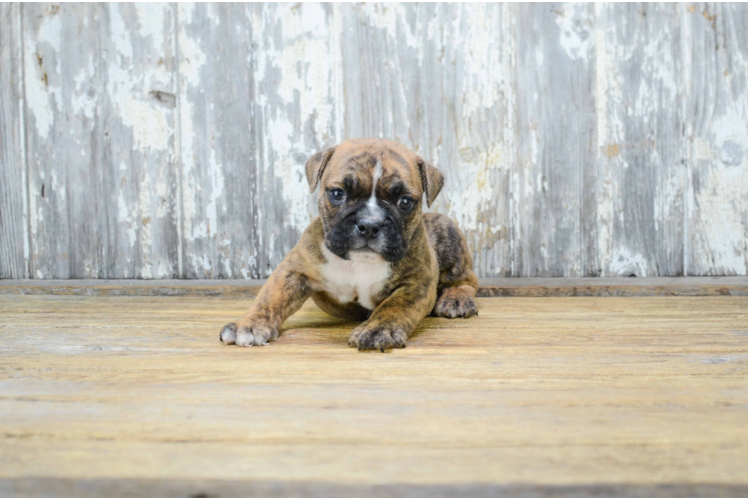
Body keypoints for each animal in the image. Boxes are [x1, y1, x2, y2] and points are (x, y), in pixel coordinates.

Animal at [221, 137, 480, 352]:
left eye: (405, 201)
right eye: (338, 194)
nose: (370, 224)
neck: (360, 261)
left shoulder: (416, 283)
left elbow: (394, 306)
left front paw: (377, 330)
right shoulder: (294, 271)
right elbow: (270, 297)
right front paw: (249, 325)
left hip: (446, 230)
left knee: (466, 279)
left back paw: (455, 299)